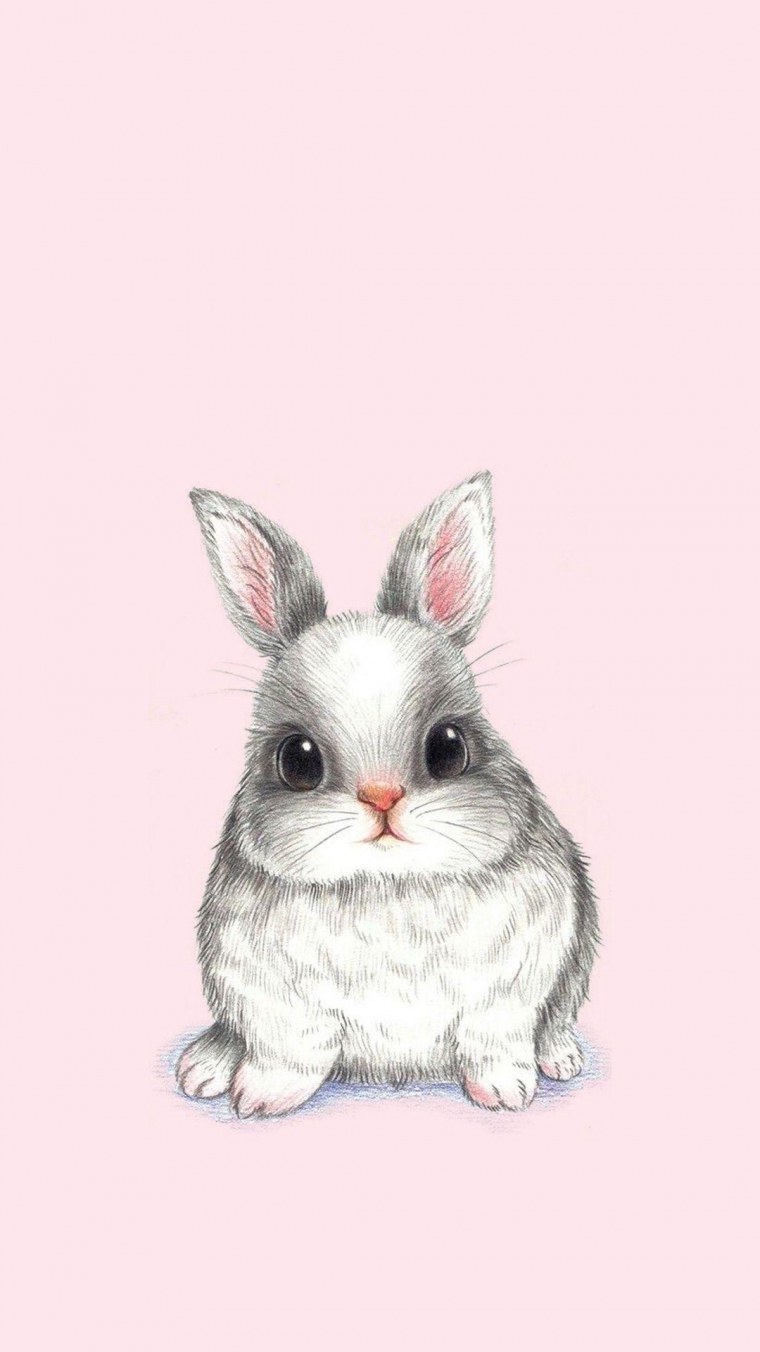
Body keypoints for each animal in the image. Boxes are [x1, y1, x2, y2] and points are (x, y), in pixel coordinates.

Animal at [177, 471, 598, 1116]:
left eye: (449, 747)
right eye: (297, 760)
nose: (382, 798)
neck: (388, 883)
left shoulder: (510, 990)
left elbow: (492, 1041)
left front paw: (504, 1092)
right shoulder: (269, 996)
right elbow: (289, 1050)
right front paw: (262, 1098)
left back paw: (560, 1057)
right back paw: (206, 1065)